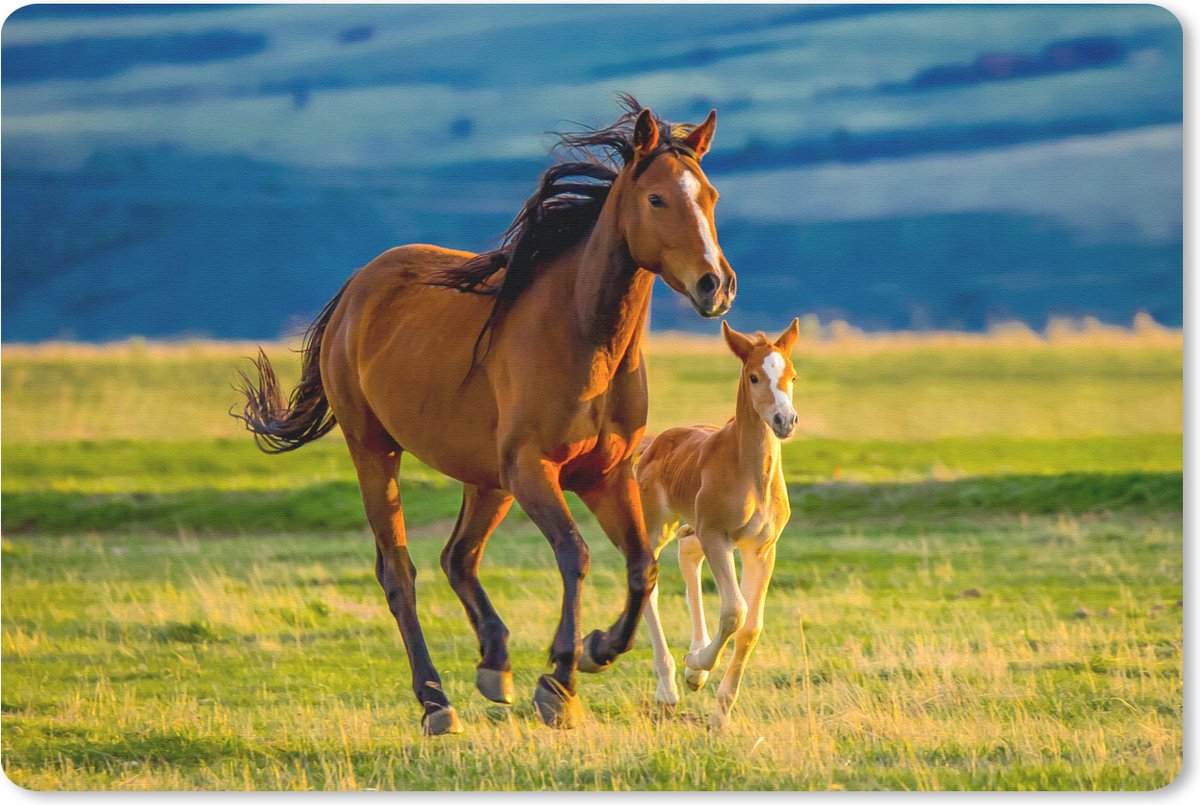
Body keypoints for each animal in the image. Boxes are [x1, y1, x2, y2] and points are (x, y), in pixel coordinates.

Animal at [233, 95, 736, 735]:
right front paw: (559, 682)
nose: (715, 285)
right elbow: (575, 555)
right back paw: (435, 701)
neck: (583, 338)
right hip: (377, 451)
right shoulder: (534, 470)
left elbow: (641, 566)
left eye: (711, 195)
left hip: (486, 480)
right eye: (656, 199)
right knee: (399, 572)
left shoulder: (604, 476)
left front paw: (596, 649)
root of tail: (357, 289)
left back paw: (494, 664)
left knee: (458, 557)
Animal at [634, 318, 799, 729]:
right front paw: (696, 665)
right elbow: (734, 611)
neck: (751, 473)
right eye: (754, 376)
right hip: (657, 527)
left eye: (792, 375)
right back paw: (669, 688)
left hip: (693, 529)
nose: (785, 421)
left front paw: (720, 711)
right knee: (649, 581)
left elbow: (751, 626)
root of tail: (653, 442)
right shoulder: (717, 536)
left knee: (688, 556)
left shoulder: (761, 549)